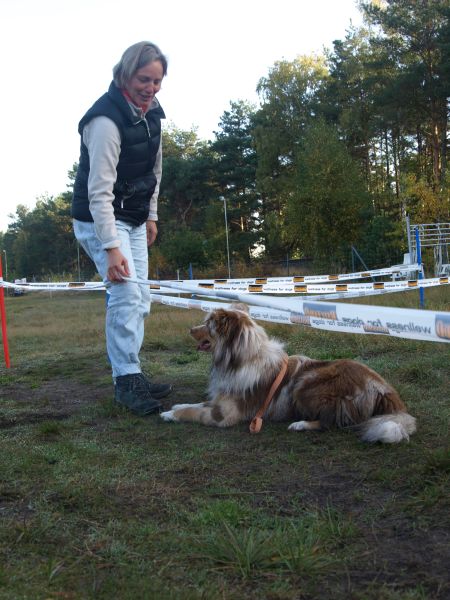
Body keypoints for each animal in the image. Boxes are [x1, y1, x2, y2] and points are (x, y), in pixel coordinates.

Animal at [161, 305, 417, 443]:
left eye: (207, 325)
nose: (190, 330)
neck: (239, 358)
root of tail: (385, 389)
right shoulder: (222, 398)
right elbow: (196, 403)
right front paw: (176, 405)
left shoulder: (225, 414)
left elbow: (194, 411)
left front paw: (170, 414)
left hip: (306, 384)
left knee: (332, 422)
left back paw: (300, 424)